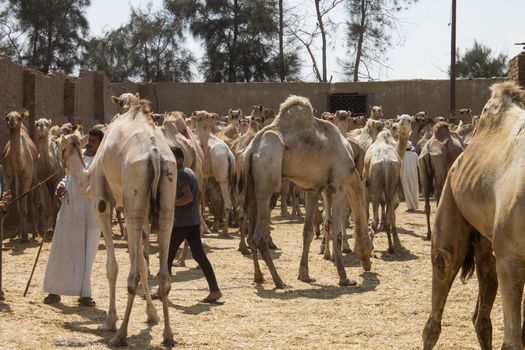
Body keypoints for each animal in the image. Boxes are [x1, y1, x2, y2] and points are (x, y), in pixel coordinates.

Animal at [2, 111, 39, 241]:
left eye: (19, 117)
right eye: (7, 117)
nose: (12, 122)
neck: (19, 164)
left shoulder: (27, 177)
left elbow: (24, 207)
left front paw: (25, 237)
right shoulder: (7, 176)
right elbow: (10, 203)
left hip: (33, 179)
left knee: (29, 201)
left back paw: (34, 232)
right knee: (20, 199)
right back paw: (16, 233)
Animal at [242, 95, 372, 288]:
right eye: (371, 245)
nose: (368, 265)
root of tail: (251, 150)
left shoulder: (313, 190)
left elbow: (307, 231)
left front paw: (305, 275)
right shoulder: (339, 186)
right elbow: (337, 232)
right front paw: (345, 278)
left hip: (251, 185)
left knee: (251, 236)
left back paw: (259, 277)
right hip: (266, 181)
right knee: (258, 236)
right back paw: (279, 281)